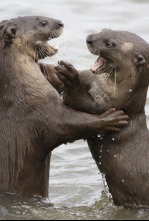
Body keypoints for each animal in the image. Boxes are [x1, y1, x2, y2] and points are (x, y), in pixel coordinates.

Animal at [0, 17, 129, 197]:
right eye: (42, 22)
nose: (60, 23)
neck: (18, 87)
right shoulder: (39, 110)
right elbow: (69, 125)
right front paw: (113, 119)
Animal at [55, 29, 149, 209]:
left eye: (109, 43)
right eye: (105, 30)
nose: (89, 38)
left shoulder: (107, 104)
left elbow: (81, 101)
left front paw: (70, 77)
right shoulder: (89, 78)